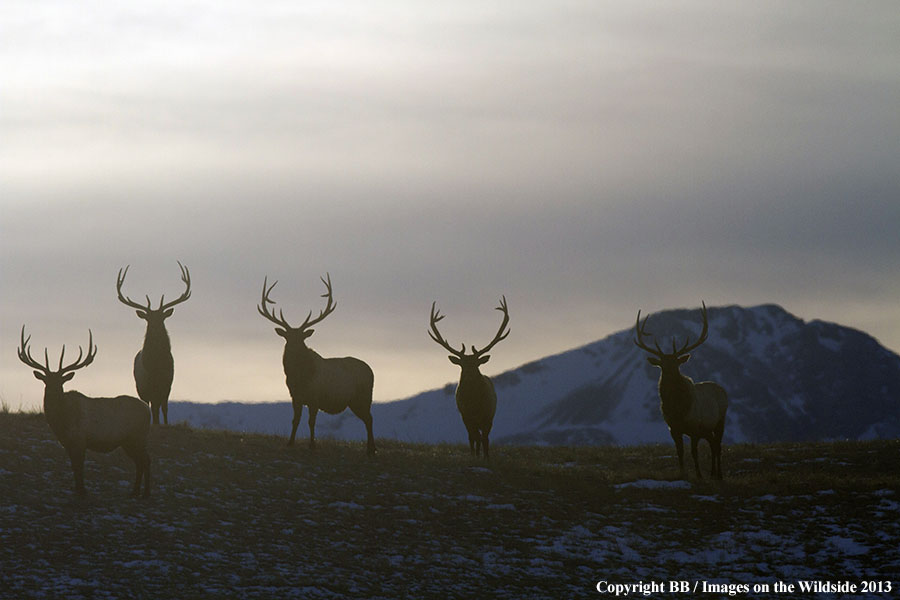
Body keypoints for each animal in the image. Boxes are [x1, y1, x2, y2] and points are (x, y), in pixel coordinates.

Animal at [16, 326, 150, 494]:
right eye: (46, 381)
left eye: (61, 382)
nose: (53, 392)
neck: (61, 422)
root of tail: (148, 411)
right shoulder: (67, 442)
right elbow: (74, 466)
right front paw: (77, 489)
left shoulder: (80, 439)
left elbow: (79, 465)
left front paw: (82, 491)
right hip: (129, 441)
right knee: (141, 462)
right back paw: (136, 492)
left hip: (137, 436)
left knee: (146, 460)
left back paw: (144, 493)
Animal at [116, 260, 192, 424]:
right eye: (148, 319)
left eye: (162, 318)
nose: (156, 328)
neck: (156, 366)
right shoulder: (146, 385)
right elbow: (153, 409)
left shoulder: (167, 384)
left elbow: (164, 408)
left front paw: (165, 424)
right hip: (140, 387)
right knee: (150, 406)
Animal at [256, 274, 376, 454]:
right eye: (287, 337)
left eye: (302, 338)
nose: (293, 348)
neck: (300, 377)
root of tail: (372, 372)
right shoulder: (295, 397)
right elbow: (295, 420)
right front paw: (290, 442)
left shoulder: (315, 398)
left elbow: (311, 422)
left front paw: (312, 444)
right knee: (369, 418)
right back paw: (371, 449)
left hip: (363, 397)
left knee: (369, 418)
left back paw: (371, 449)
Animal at [428, 296, 510, 460]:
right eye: (462, 365)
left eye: (476, 364)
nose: (469, 376)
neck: (474, 403)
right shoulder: (465, 416)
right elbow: (472, 437)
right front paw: (474, 456)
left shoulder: (488, 415)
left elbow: (485, 438)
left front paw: (486, 458)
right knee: (474, 437)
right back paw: (475, 454)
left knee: (482, 437)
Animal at [636, 302, 728, 480]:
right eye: (662, 365)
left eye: (676, 364)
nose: (669, 377)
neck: (678, 409)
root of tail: (723, 390)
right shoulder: (673, 428)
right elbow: (680, 452)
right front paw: (682, 473)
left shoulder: (694, 427)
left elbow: (693, 452)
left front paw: (699, 475)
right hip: (707, 428)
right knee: (712, 444)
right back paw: (712, 473)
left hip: (720, 420)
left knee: (718, 445)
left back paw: (719, 474)